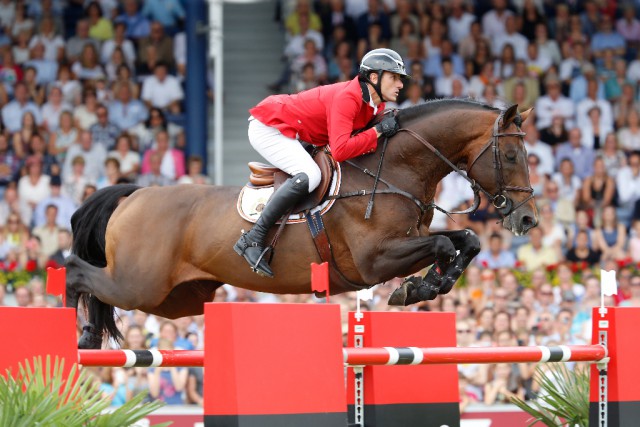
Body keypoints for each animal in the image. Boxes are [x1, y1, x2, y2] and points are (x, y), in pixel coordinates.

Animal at [66, 102, 536, 350]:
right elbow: (441, 246)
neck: (392, 170)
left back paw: (88, 336)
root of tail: (135, 195)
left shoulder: (410, 240)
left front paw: (430, 285)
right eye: (512, 156)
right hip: (139, 284)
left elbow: (466, 240)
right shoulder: (375, 260)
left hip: (177, 299)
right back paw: (77, 330)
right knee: (76, 272)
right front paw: (418, 287)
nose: (528, 219)